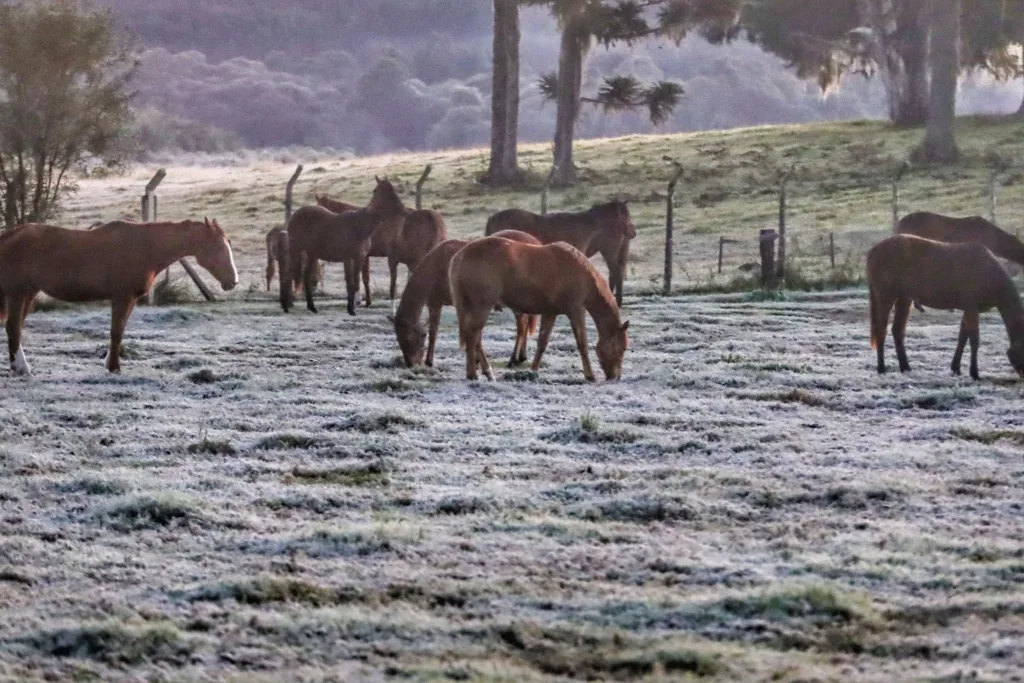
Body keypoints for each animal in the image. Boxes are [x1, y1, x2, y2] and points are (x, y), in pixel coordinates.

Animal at [1, 219, 235, 376]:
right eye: (217, 246)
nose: (233, 281)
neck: (144, 247)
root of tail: (10, 234)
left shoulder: (129, 299)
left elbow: (119, 331)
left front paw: (109, 364)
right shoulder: (122, 298)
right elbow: (116, 332)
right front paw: (114, 368)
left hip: (29, 294)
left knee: (16, 327)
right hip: (17, 293)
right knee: (13, 328)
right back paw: (21, 368)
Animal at [389, 229, 544, 368]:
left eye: (409, 338)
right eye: (398, 339)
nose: (410, 364)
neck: (436, 267)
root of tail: (536, 243)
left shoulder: (435, 303)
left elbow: (434, 331)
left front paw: (429, 361)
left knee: (522, 326)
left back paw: (513, 359)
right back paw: (521, 357)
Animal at [450, 237, 626, 382]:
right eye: (620, 349)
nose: (615, 377)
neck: (580, 272)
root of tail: (460, 256)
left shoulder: (550, 313)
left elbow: (542, 342)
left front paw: (533, 371)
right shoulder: (576, 311)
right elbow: (582, 343)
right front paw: (590, 375)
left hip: (473, 309)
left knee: (475, 339)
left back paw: (486, 372)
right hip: (482, 307)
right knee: (473, 338)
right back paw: (473, 374)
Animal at [483, 200, 634, 307]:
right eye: (625, 217)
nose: (633, 233)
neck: (590, 224)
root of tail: (492, 218)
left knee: (615, 273)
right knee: (616, 273)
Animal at [868, 235, 1024, 378]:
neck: (989, 273)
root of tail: (873, 251)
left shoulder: (969, 310)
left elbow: (962, 338)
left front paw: (956, 368)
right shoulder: (971, 308)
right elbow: (974, 339)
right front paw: (974, 373)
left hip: (904, 298)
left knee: (897, 330)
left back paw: (905, 367)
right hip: (886, 297)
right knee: (881, 330)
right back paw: (881, 368)